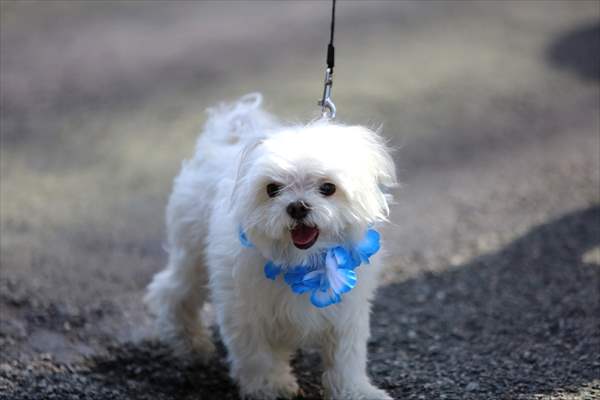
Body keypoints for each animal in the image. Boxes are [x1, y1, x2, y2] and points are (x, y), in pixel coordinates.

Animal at [145, 94, 398, 400]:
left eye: (328, 187)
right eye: (272, 189)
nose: (298, 207)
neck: (302, 260)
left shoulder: (346, 311)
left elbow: (345, 357)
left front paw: (356, 390)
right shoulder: (245, 310)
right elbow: (257, 354)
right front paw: (272, 386)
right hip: (192, 254)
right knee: (172, 291)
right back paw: (191, 344)